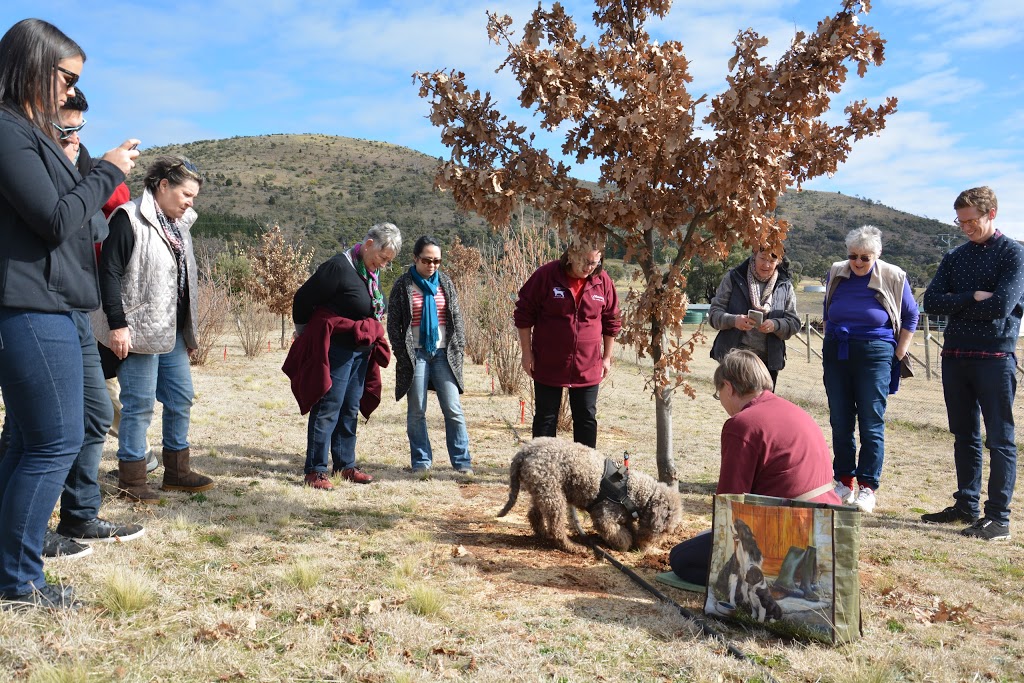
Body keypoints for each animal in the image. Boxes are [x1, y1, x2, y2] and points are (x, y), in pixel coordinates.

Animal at [495, 438, 679, 557]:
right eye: (664, 530)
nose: (650, 545)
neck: (634, 492)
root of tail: (524, 451)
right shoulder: (604, 516)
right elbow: (618, 534)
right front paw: (626, 545)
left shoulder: (625, 516)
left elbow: (630, 529)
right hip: (553, 495)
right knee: (556, 529)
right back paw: (573, 547)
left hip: (542, 492)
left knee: (534, 515)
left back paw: (544, 534)